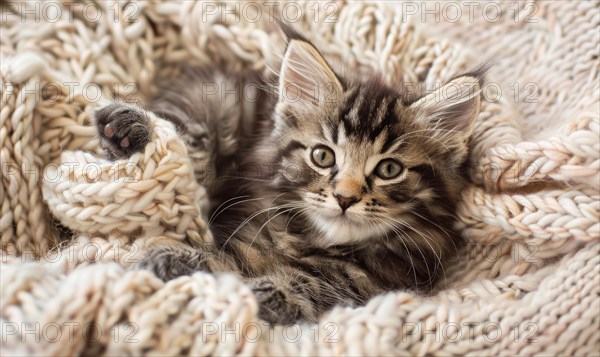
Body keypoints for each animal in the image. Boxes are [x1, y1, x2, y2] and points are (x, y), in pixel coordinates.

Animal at [96, 26, 486, 324]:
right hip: (217, 105)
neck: (318, 241)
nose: (345, 198)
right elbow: (228, 257)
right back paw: (130, 129)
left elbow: (313, 284)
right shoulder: (247, 227)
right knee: (181, 140)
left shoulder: (377, 282)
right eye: (322, 156)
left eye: (389, 169)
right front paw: (177, 259)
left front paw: (271, 294)